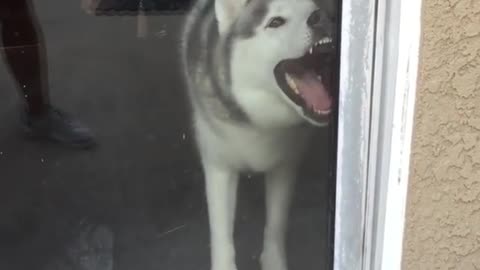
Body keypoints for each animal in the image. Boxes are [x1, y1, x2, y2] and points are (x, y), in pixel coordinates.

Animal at [182, 0, 336, 268]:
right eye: (275, 22)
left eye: (313, 9)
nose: (320, 17)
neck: (259, 122)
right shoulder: (219, 168)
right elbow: (221, 235)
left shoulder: (284, 167)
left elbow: (276, 224)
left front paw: (273, 261)